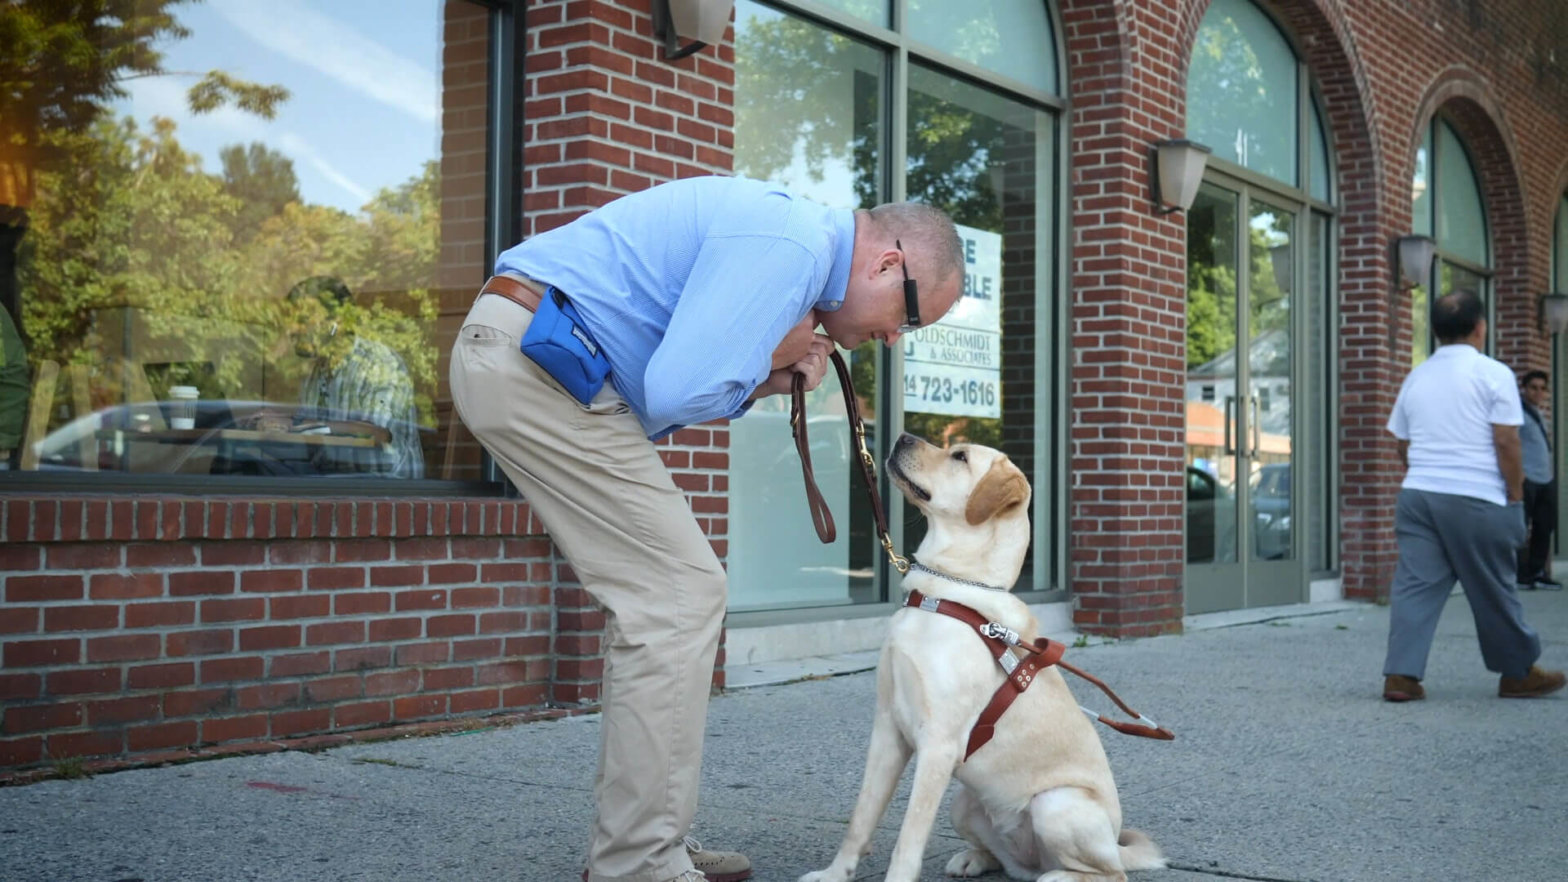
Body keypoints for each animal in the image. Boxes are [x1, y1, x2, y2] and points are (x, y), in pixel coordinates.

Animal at [802, 430, 1160, 878]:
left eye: (959, 457)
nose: (902, 436)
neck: (946, 592)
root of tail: (1115, 844)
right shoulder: (887, 730)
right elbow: (860, 818)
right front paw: (834, 874)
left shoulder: (938, 745)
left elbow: (908, 840)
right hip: (963, 804)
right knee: (1011, 862)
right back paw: (975, 858)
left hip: (1056, 805)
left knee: (1108, 872)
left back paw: (1059, 875)